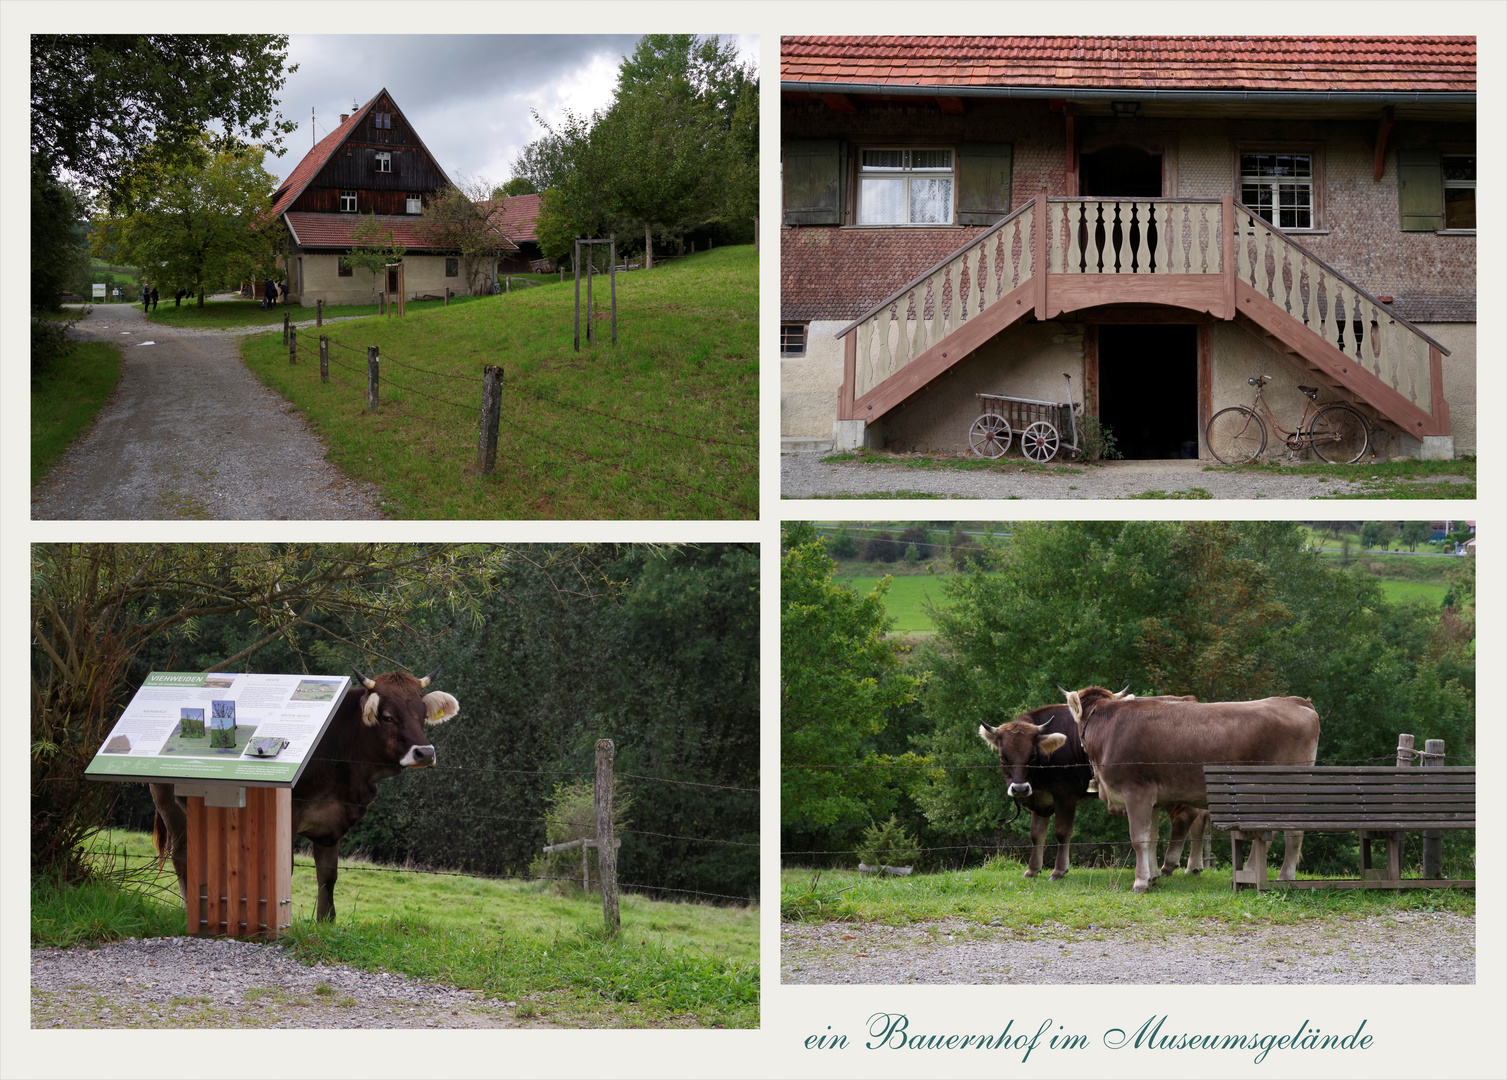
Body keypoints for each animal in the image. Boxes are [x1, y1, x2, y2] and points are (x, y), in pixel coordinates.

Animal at [153, 665, 461, 915]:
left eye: (422, 715)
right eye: (387, 717)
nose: (424, 753)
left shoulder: (332, 826)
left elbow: (328, 876)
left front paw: (326, 923)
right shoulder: (289, 817)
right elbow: (283, 870)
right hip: (170, 807)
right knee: (181, 854)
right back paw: (188, 907)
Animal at [1060, 686, 1320, 891]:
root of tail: (1295, 701)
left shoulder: (1136, 792)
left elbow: (1139, 839)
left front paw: (1140, 882)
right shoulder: (1152, 799)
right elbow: (1152, 838)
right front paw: (1153, 877)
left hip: (1289, 788)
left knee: (1292, 831)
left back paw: (1285, 877)